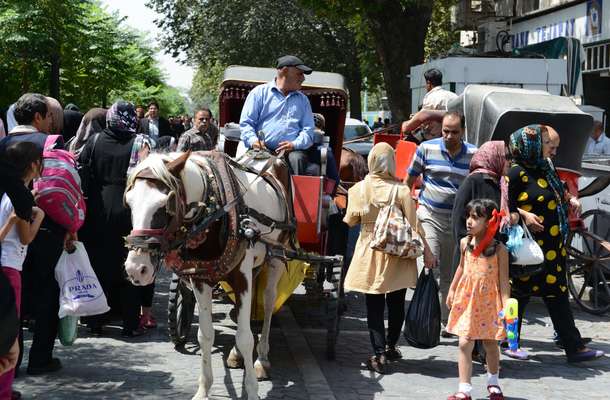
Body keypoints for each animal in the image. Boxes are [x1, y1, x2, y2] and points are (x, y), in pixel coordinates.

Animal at [123, 152, 288, 398]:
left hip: (276, 257)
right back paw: (236, 354)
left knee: (268, 303)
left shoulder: (242, 278)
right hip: (255, 267)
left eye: (164, 205)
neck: (214, 211)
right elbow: (206, 334)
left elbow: (246, 337)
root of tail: (266, 156)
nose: (136, 269)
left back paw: (262, 360)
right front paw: (203, 389)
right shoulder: (200, 279)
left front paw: (251, 390)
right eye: (129, 202)